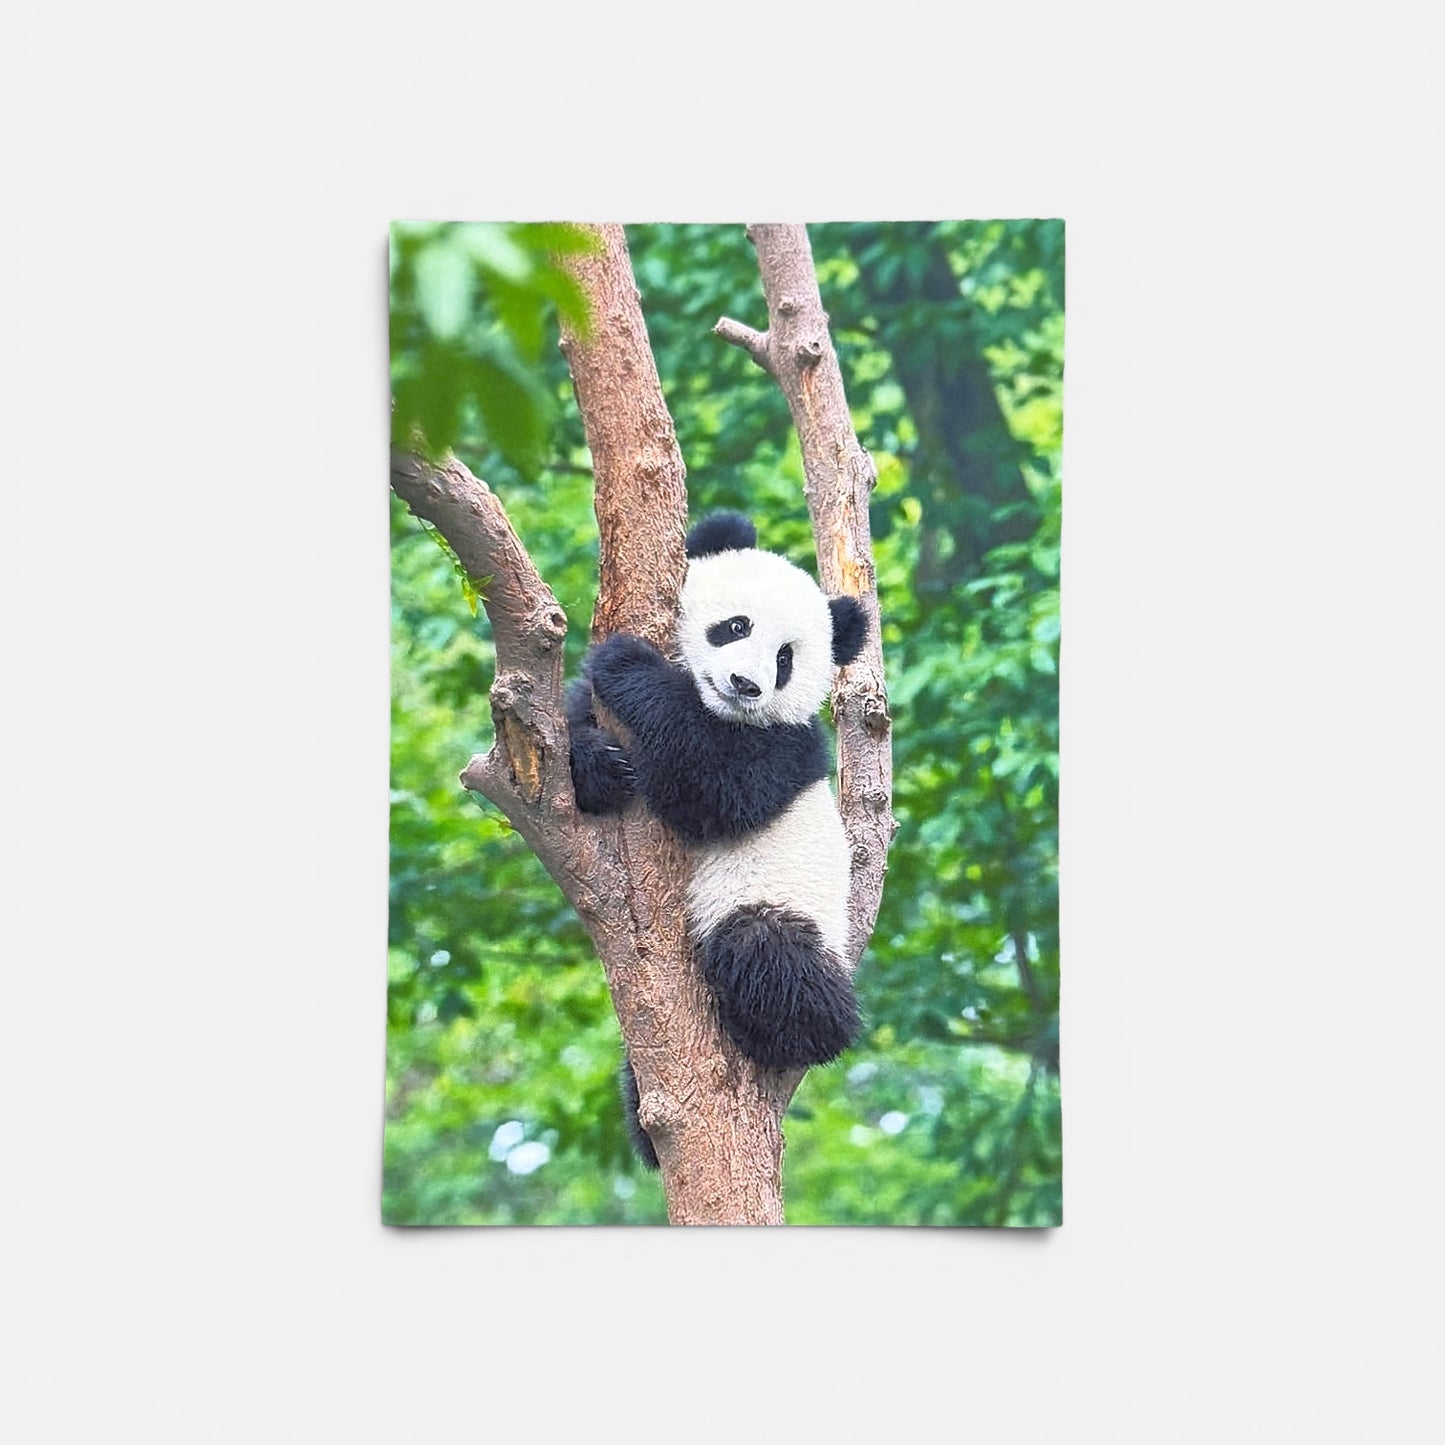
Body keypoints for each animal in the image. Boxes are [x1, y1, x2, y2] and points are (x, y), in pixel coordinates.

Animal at [565, 511, 869, 1163]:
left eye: (784, 659)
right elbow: (572, 734)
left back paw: (789, 1030)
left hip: (782, 904)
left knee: (771, 955)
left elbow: (713, 786)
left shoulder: (787, 748)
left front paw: (627, 665)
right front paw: (600, 766)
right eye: (736, 626)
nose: (745, 684)